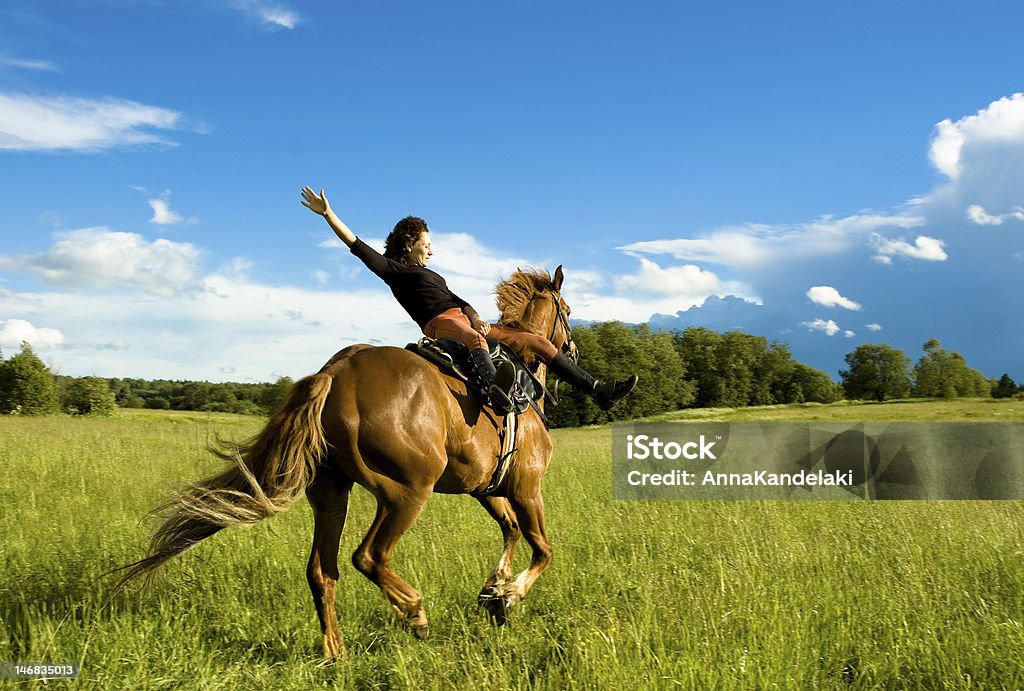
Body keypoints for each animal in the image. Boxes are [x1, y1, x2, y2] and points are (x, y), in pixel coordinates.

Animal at [117, 264, 577, 659]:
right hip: (406, 493)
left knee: (322, 571)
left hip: (331, 495)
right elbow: (543, 549)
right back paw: (414, 612)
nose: (571, 348)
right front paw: (509, 595)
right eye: (569, 312)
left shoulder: (487, 488)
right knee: (368, 556)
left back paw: (335, 652)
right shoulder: (526, 487)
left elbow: (511, 530)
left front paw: (494, 591)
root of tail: (335, 373)